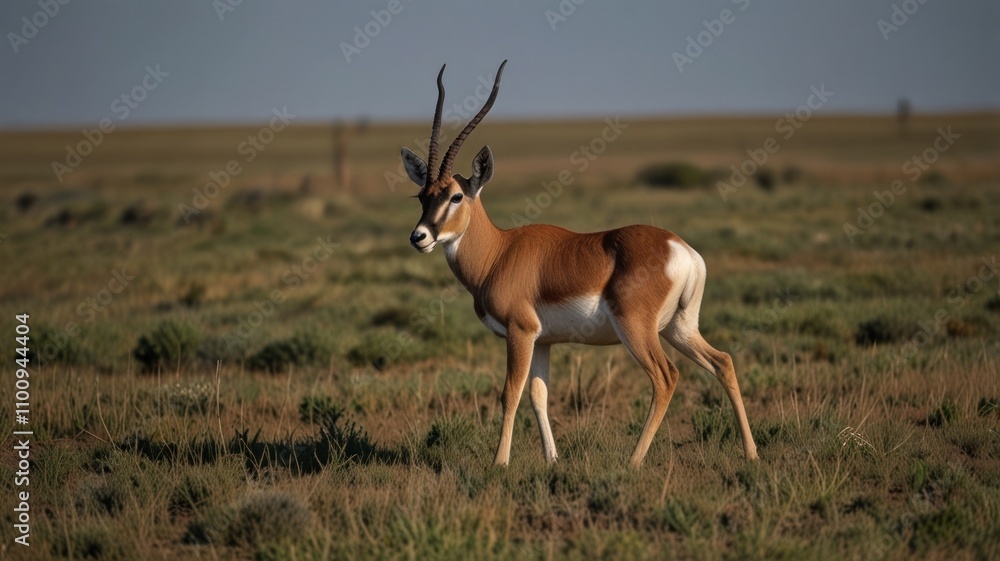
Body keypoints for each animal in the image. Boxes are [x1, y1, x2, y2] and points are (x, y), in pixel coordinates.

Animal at [401, 61, 758, 466]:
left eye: (457, 196)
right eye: (422, 195)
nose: (419, 237)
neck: (498, 253)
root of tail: (681, 249)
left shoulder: (519, 333)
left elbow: (511, 394)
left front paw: (499, 463)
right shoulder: (541, 340)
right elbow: (538, 395)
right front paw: (552, 460)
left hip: (637, 329)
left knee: (666, 377)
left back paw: (633, 462)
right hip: (678, 327)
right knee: (723, 361)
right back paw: (751, 453)